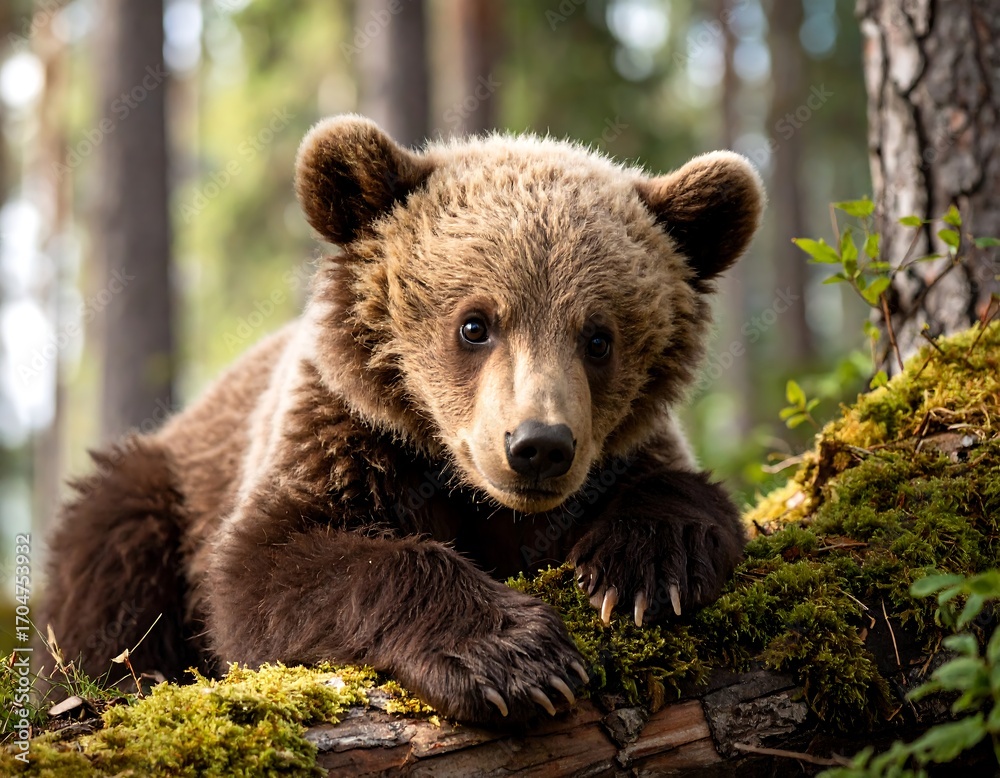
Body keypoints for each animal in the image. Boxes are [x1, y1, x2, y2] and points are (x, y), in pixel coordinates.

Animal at [41, 115, 764, 724]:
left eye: (598, 338)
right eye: (475, 324)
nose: (538, 446)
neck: (469, 487)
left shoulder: (622, 452)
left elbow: (681, 490)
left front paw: (643, 570)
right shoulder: (343, 437)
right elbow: (271, 565)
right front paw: (518, 659)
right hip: (160, 488)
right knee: (109, 556)